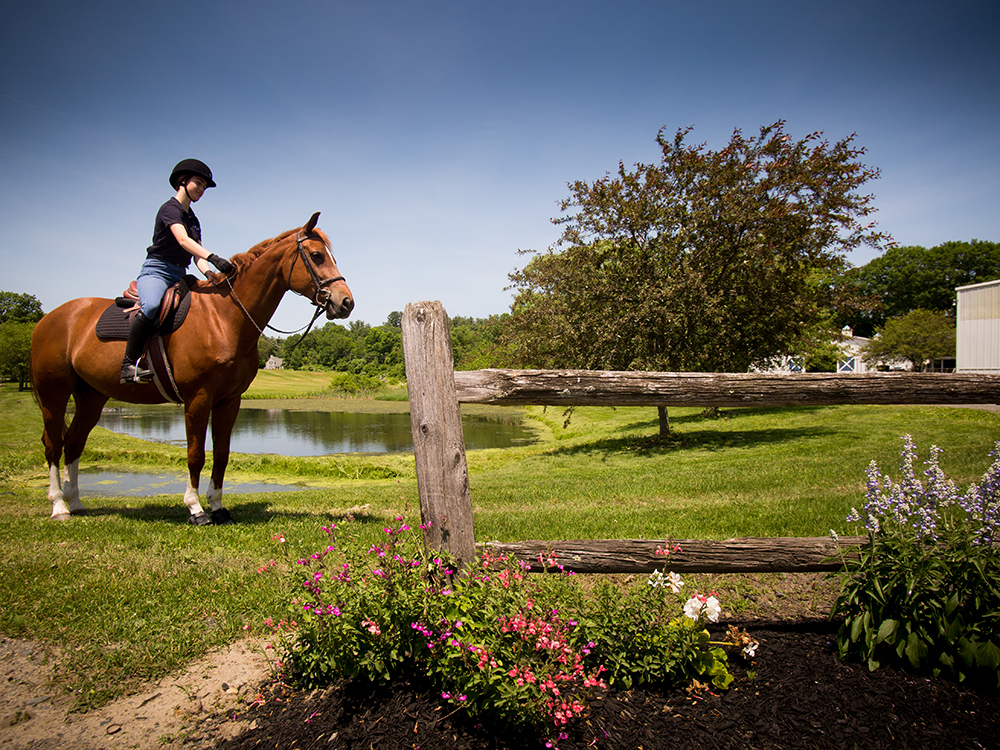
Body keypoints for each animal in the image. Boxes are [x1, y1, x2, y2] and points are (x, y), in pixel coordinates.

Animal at [31, 214, 354, 524]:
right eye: (316, 256)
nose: (346, 302)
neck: (224, 317)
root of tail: (48, 319)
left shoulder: (229, 401)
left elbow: (221, 455)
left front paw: (219, 507)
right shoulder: (197, 398)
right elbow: (196, 455)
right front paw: (196, 509)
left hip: (91, 397)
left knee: (74, 443)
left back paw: (76, 502)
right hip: (53, 395)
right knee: (53, 445)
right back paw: (59, 505)